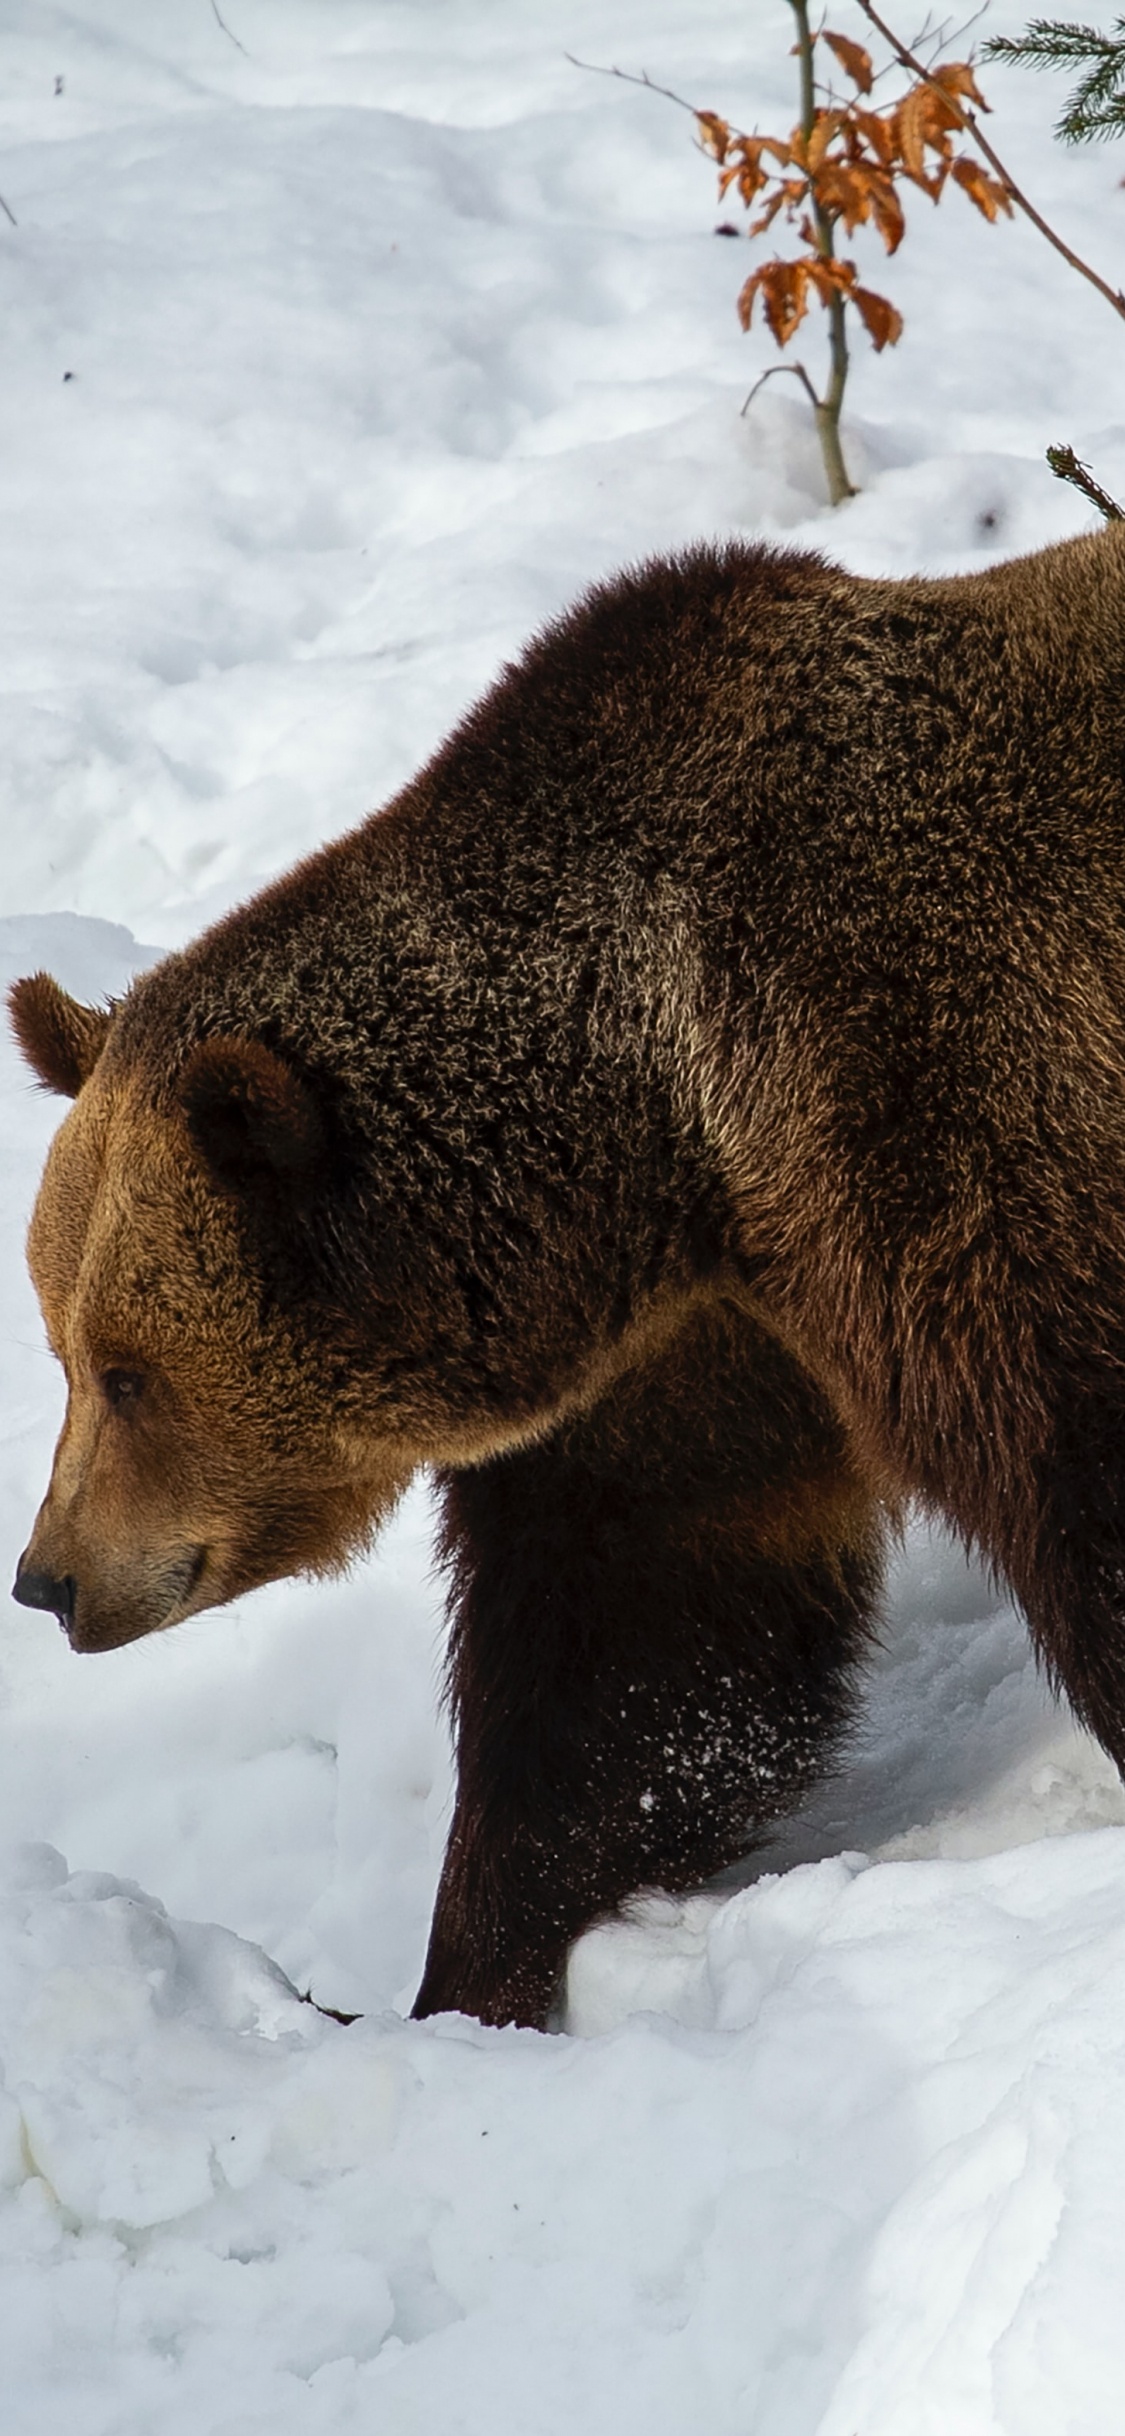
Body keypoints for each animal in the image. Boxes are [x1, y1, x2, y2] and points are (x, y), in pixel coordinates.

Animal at [9, 523, 1125, 2029]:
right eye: (62, 1350)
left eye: (130, 1373)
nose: (47, 1576)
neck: (663, 1109)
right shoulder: (696, 1335)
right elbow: (645, 1635)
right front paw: (459, 1975)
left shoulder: (935, 1091)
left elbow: (1070, 1436)